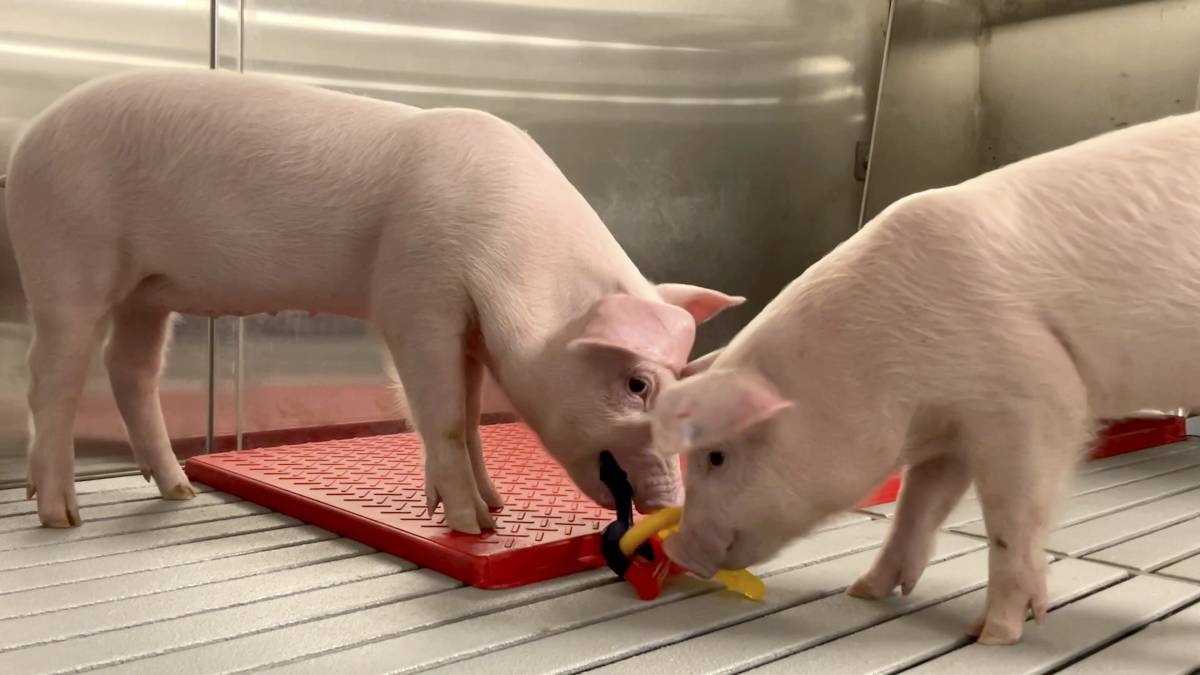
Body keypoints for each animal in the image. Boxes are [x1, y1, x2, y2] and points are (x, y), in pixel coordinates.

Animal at [7, 66, 739, 530]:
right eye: (638, 384)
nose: (673, 504)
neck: (510, 252)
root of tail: (26, 142)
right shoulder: (415, 300)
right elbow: (441, 413)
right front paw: (472, 526)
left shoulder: (469, 331)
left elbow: (471, 414)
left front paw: (496, 506)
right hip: (66, 257)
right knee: (51, 379)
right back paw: (60, 515)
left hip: (148, 293)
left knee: (130, 369)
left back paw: (180, 491)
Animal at [648, 109, 1200, 638]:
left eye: (716, 457)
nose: (676, 549)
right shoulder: (950, 430)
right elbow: (917, 505)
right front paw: (862, 591)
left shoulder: (1035, 394)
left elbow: (1013, 517)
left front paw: (994, 634)